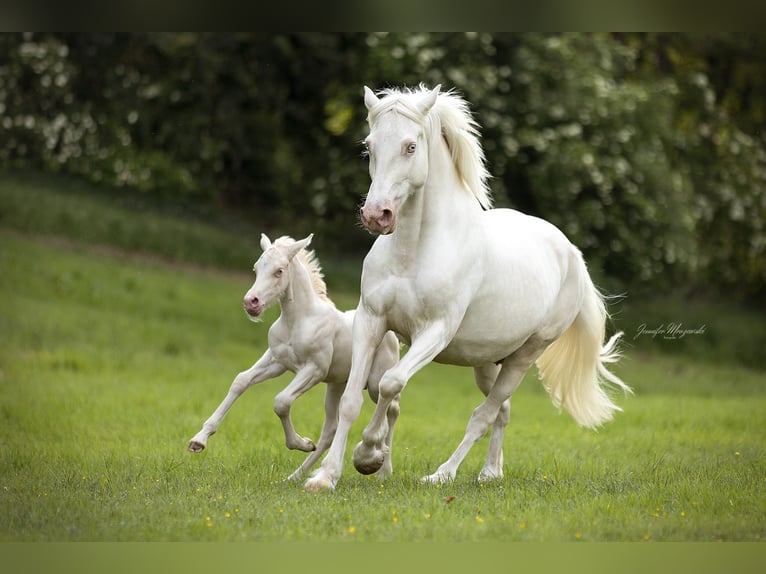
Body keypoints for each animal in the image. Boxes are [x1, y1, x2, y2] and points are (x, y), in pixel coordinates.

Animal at [189, 233, 400, 481]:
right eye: (256, 268)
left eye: (279, 271)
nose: (251, 302)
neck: (298, 320)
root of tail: (392, 333)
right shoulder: (276, 361)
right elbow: (241, 381)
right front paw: (199, 440)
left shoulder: (313, 370)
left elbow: (281, 401)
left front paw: (300, 443)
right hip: (336, 385)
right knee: (331, 429)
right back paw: (297, 476)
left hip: (374, 383)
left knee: (391, 409)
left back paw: (381, 466)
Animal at [304, 84, 631, 491]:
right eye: (369, 146)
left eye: (411, 146)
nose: (376, 215)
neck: (413, 252)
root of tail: (571, 254)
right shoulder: (370, 320)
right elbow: (351, 399)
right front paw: (325, 477)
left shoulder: (435, 332)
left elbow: (392, 383)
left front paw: (369, 455)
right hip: (488, 361)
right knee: (501, 411)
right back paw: (491, 472)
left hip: (525, 356)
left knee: (484, 414)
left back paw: (443, 474)